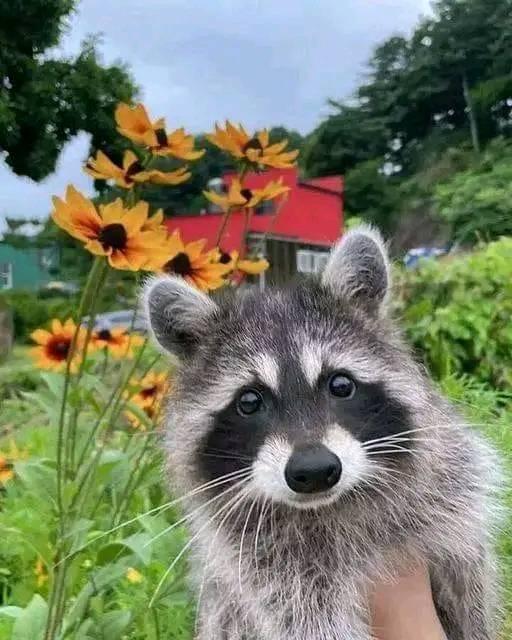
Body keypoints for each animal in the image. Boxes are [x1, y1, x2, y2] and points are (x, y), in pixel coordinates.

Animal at [144, 226, 501, 640]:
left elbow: (469, 576)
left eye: (340, 385)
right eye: (249, 401)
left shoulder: (449, 500)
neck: (331, 507)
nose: (313, 470)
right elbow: (311, 618)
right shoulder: (272, 570)